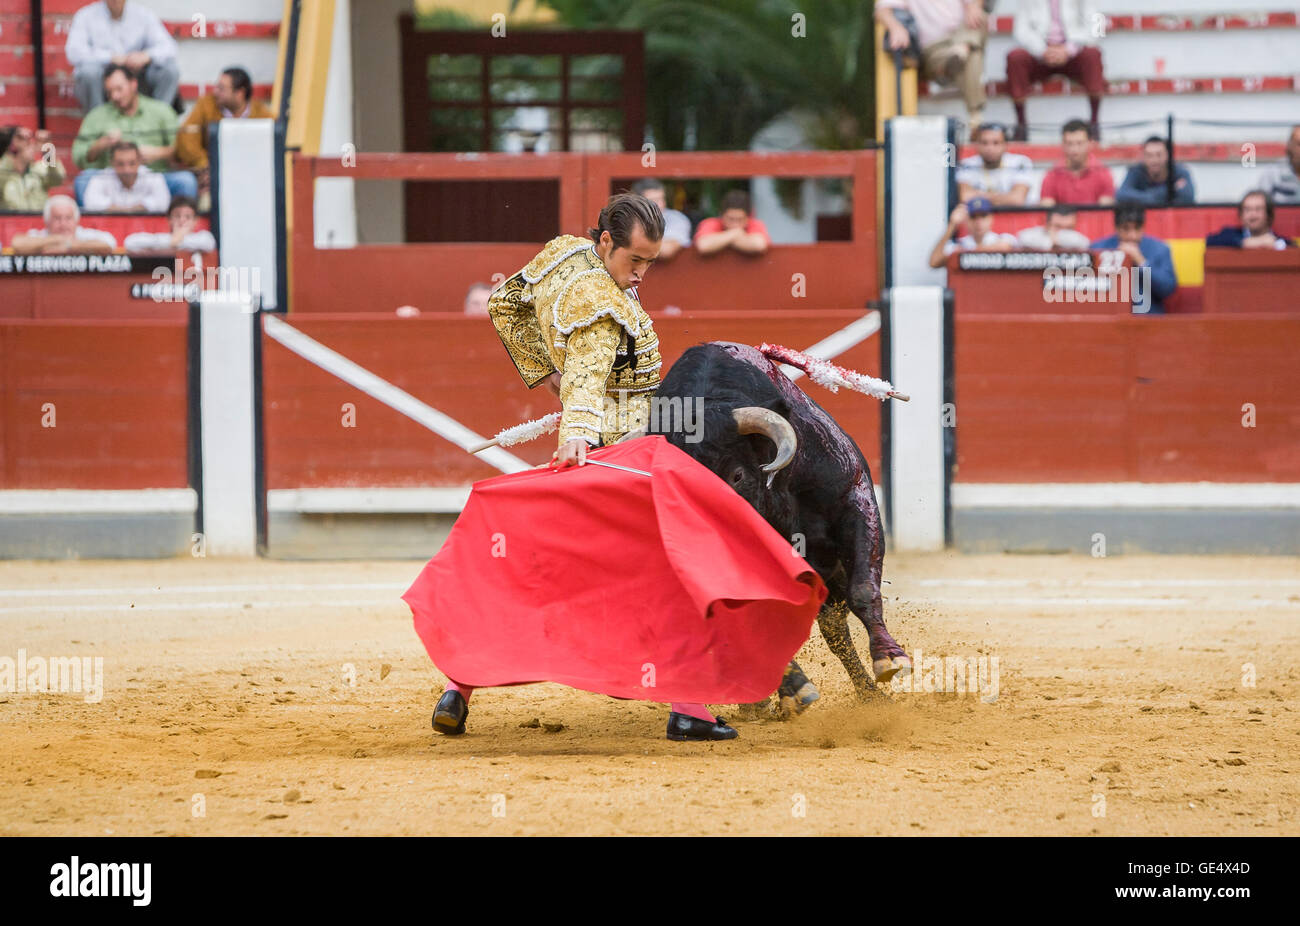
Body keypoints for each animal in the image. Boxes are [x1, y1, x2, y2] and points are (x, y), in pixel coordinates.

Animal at [644, 343, 909, 697]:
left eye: (737, 475)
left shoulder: (853, 498)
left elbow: (863, 589)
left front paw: (890, 658)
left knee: (834, 627)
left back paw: (867, 694)